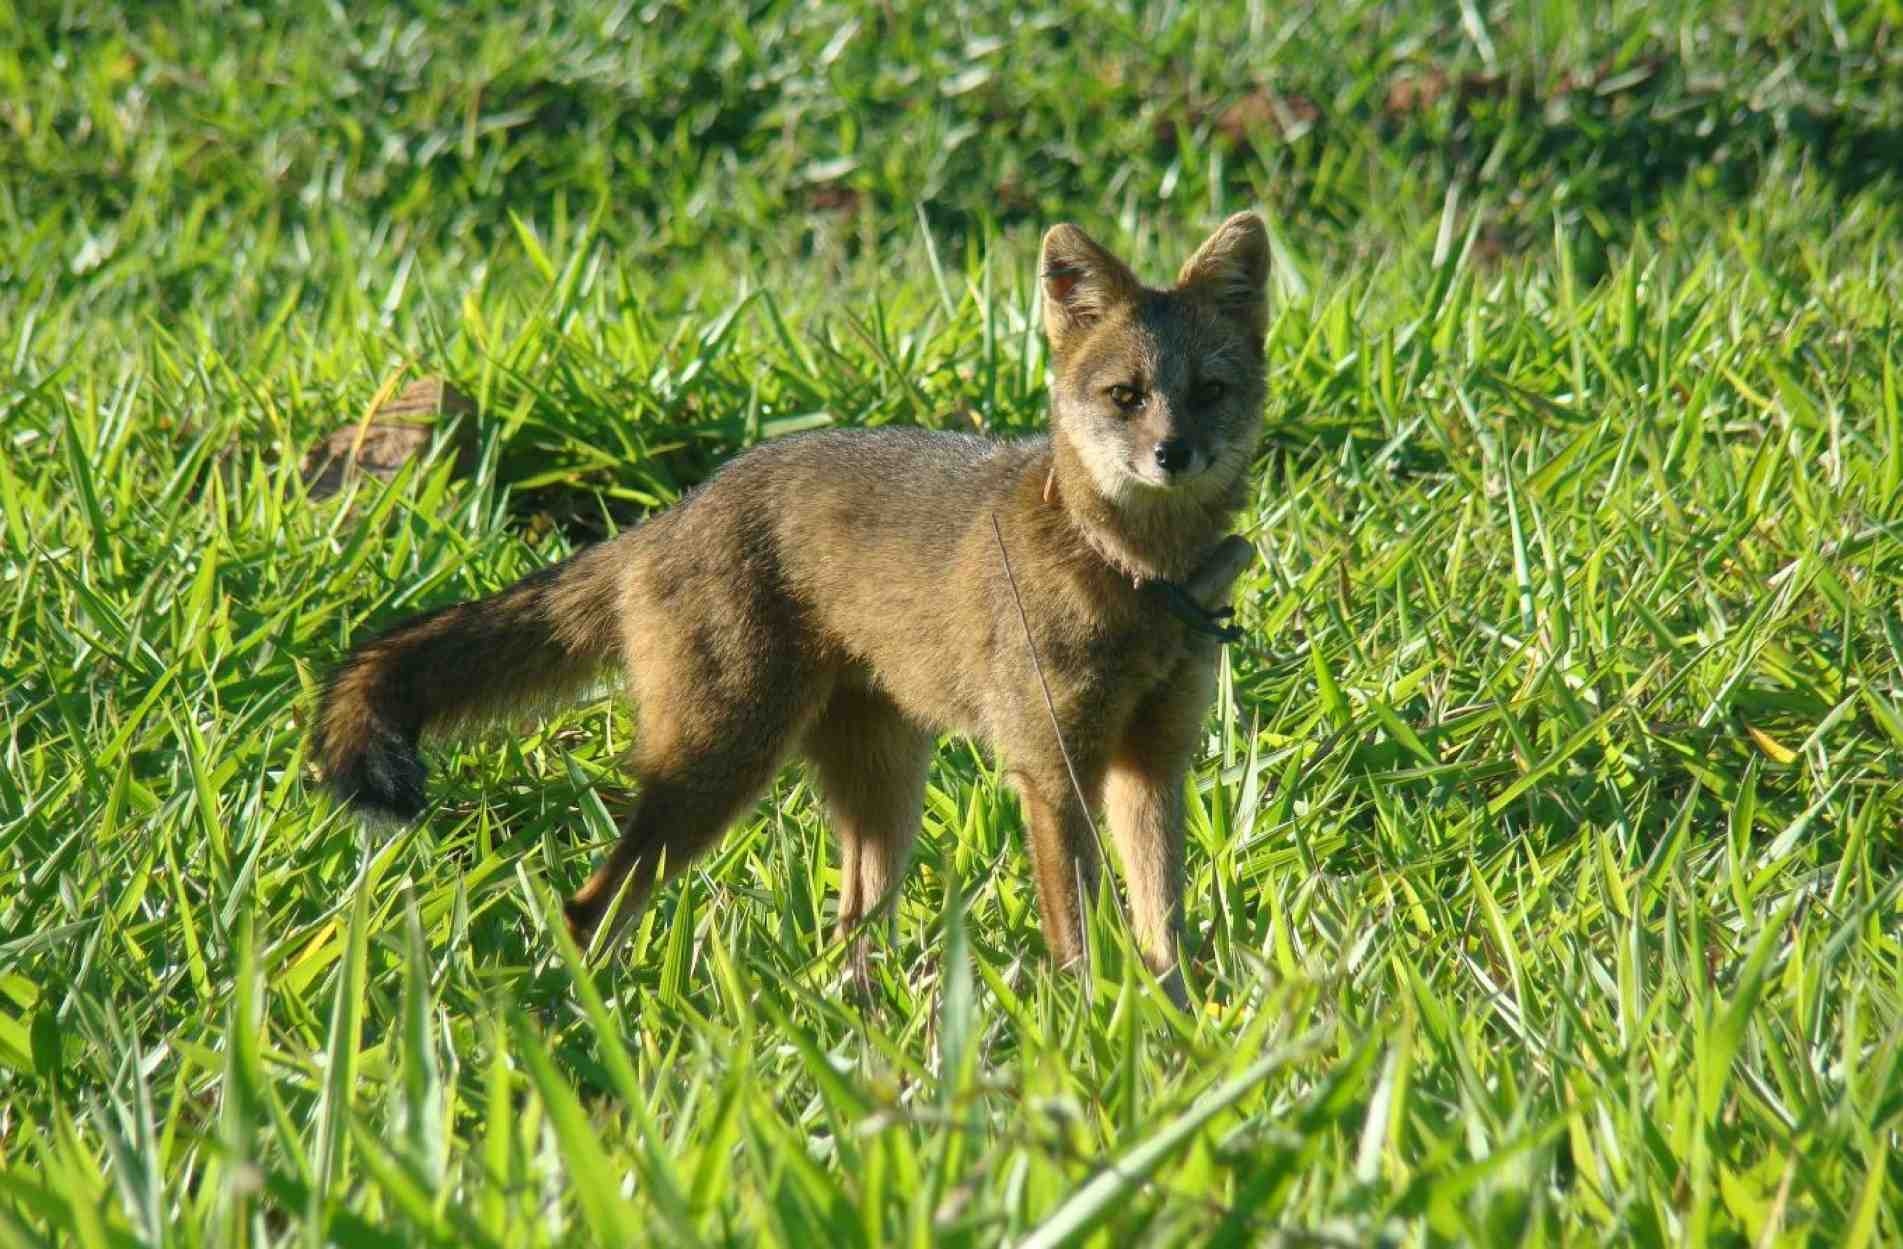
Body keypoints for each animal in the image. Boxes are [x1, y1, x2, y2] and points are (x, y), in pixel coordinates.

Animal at [312, 209, 1271, 997]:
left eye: (1208, 392)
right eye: (1126, 397)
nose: (1172, 454)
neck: (1134, 578)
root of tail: (669, 515)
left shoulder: (1153, 763)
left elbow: (1162, 929)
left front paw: (1172, 1028)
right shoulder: (1051, 766)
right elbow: (1078, 932)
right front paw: (1089, 1026)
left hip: (883, 799)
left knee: (845, 929)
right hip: (718, 768)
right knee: (589, 906)